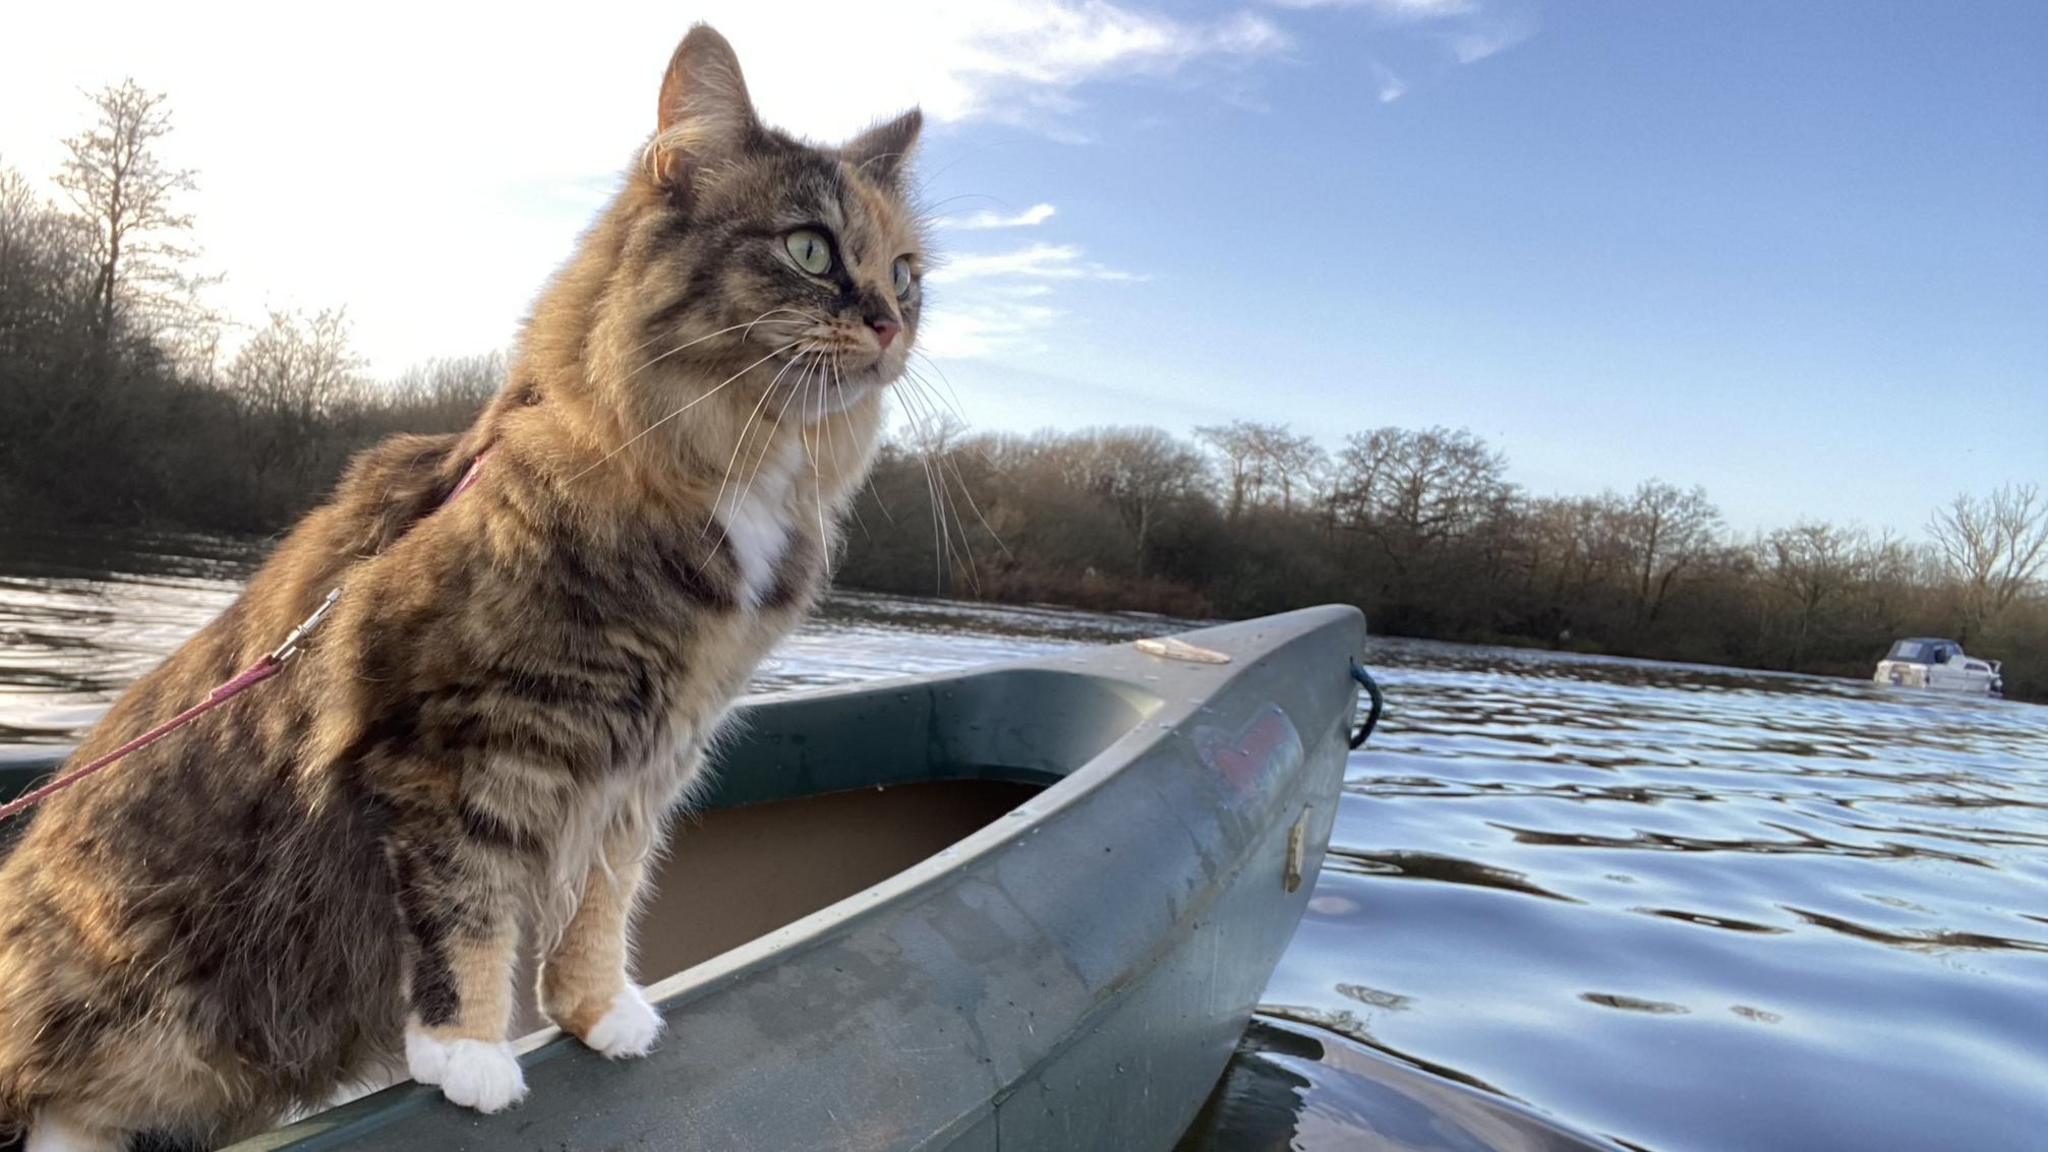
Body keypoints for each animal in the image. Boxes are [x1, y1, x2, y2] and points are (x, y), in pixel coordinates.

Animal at [0, 26, 921, 1147]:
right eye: (810, 249)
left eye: (906, 271)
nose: (890, 322)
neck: (728, 475)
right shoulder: (466, 745)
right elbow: (469, 911)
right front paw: (471, 1051)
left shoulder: (650, 763)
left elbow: (604, 902)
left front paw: (595, 1011)